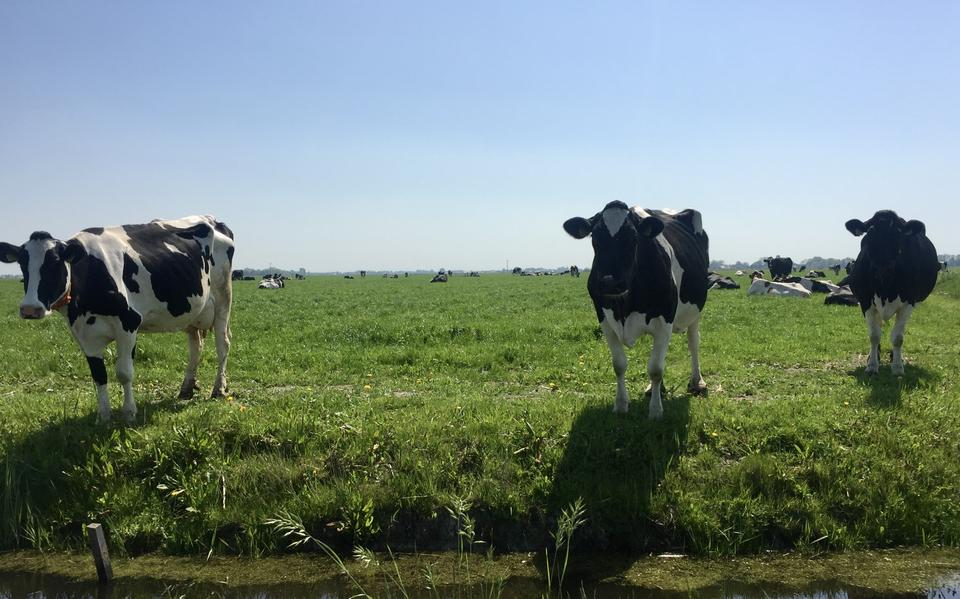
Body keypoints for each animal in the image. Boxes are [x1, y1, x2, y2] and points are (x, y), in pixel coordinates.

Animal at [0, 216, 234, 423]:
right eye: (22, 264)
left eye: (55, 263)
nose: (30, 309)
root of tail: (213, 220)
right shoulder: (84, 334)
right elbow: (99, 375)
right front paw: (103, 417)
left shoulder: (128, 325)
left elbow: (124, 373)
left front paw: (129, 413)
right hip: (192, 310)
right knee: (196, 344)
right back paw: (186, 388)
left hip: (223, 298)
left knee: (222, 344)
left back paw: (218, 389)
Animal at [563, 202, 708, 418]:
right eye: (595, 237)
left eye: (633, 237)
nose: (609, 282)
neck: (623, 306)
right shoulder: (605, 321)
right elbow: (619, 365)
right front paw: (621, 404)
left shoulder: (665, 321)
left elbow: (656, 368)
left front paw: (655, 411)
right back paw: (656, 389)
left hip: (695, 311)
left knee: (693, 343)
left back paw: (697, 383)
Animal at [844, 210, 939, 375]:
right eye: (870, 235)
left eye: (898, 235)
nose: (882, 268)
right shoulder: (865, 301)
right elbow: (874, 335)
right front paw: (872, 365)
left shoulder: (909, 302)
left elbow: (898, 338)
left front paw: (897, 367)